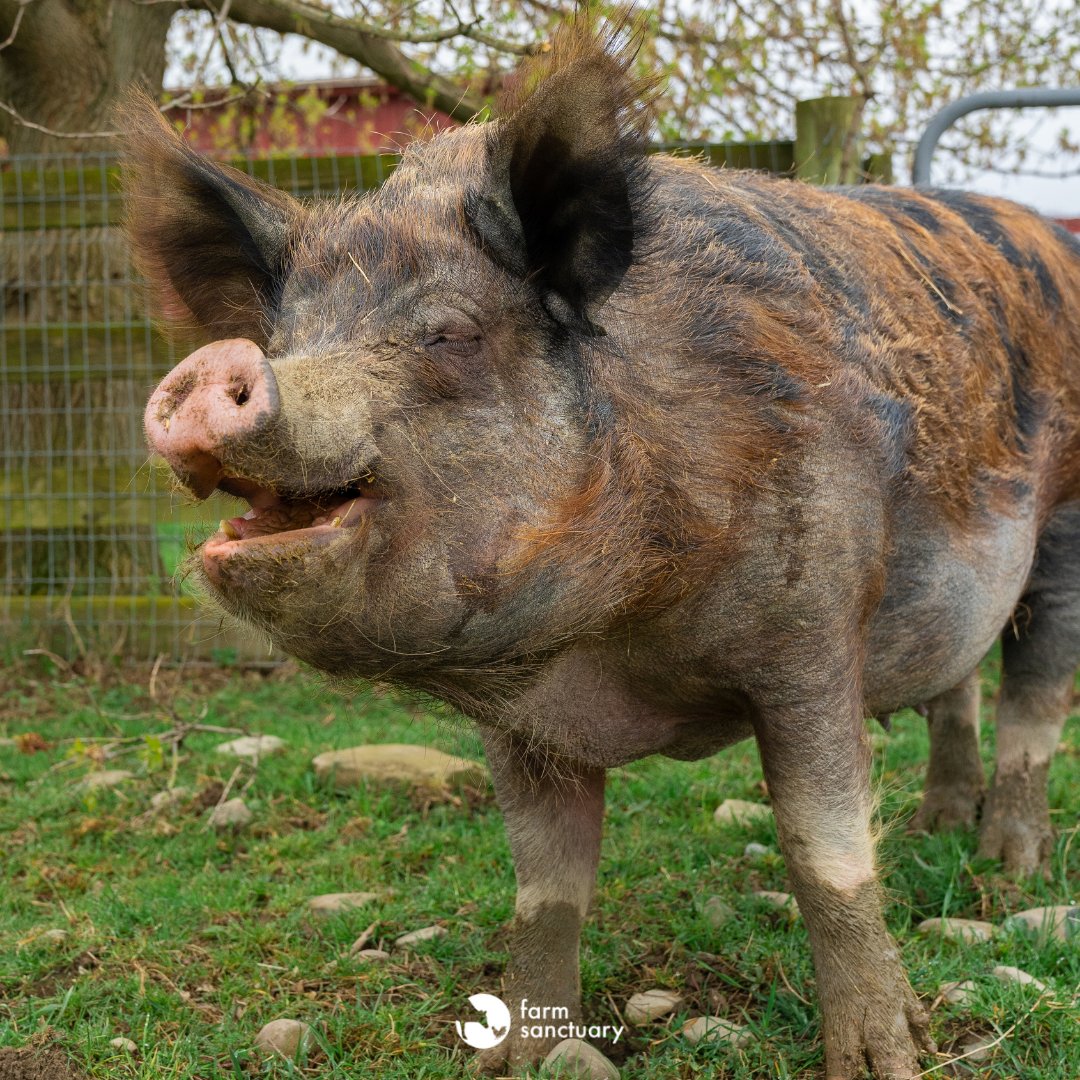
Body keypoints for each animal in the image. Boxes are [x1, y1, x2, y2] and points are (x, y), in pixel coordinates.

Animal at [126, 22, 1080, 1080]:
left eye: (450, 332)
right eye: (285, 336)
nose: (218, 366)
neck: (613, 646)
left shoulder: (811, 632)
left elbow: (821, 850)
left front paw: (884, 1060)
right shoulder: (527, 724)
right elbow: (546, 886)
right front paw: (513, 1057)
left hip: (1065, 522)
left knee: (1035, 694)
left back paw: (1008, 865)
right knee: (958, 684)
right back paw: (938, 828)